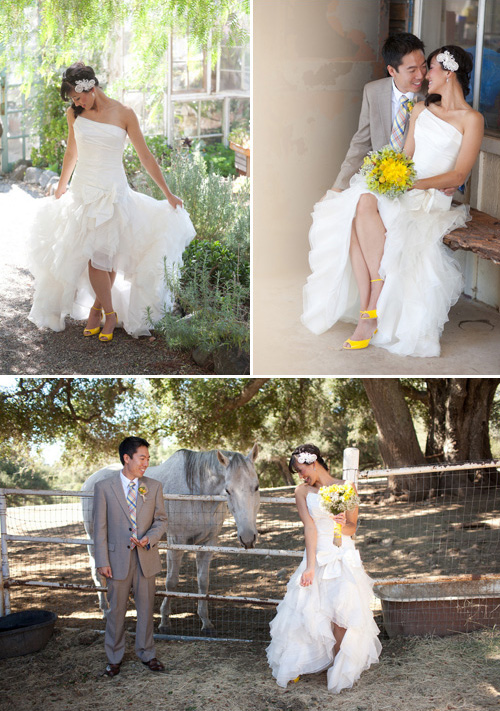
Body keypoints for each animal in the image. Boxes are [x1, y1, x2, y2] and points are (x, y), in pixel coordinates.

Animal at [80, 444, 260, 636]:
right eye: (228, 490)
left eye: (256, 487)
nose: (248, 537)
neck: (196, 494)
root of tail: (90, 480)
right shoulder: (175, 542)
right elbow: (171, 582)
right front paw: (165, 621)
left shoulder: (207, 543)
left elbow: (203, 582)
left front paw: (206, 622)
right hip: (95, 541)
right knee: (98, 574)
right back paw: (106, 611)